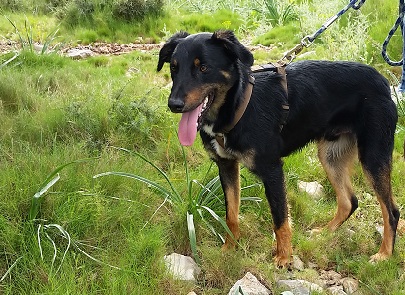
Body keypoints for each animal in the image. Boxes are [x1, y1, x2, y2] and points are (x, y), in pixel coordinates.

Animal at [156, 30, 400, 268]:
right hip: (330, 155)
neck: (238, 106)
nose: (173, 105)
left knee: (391, 211)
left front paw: (283, 258)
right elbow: (231, 215)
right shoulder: (226, 166)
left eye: (203, 68)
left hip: (373, 156)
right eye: (174, 67)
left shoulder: (272, 170)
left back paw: (384, 255)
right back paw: (325, 233)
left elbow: (280, 218)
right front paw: (229, 249)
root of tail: (382, 81)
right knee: (349, 201)